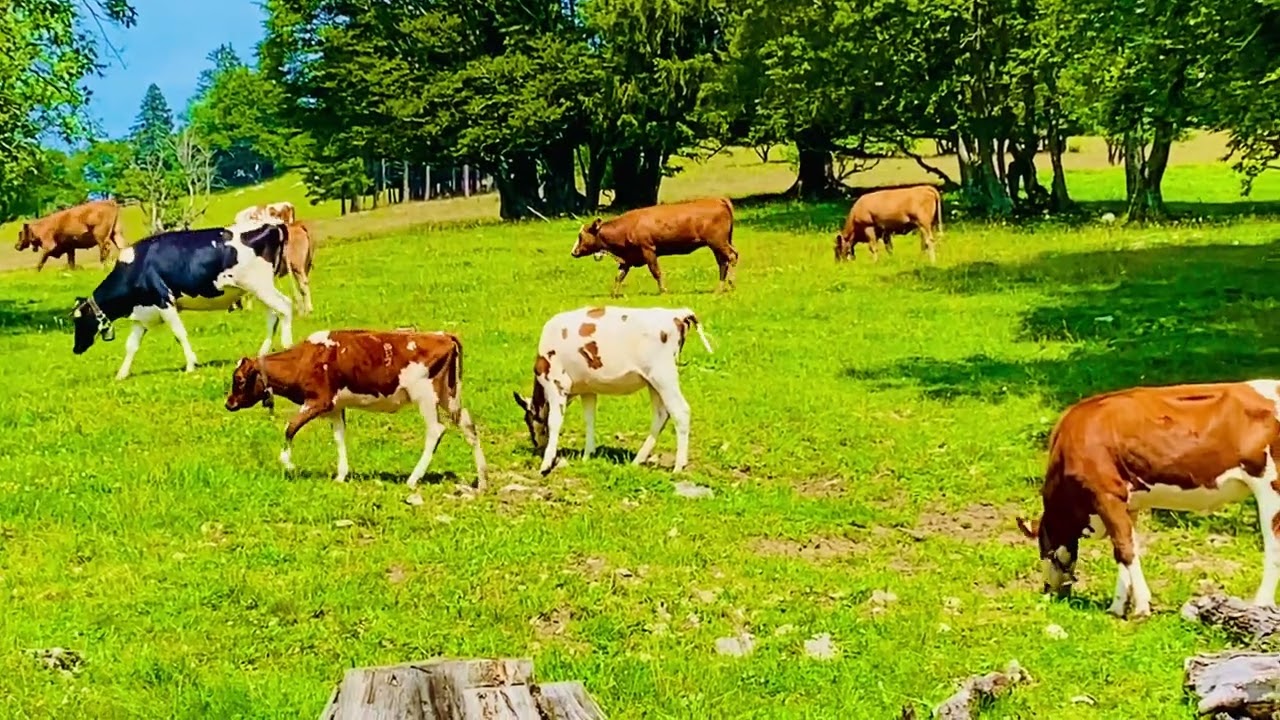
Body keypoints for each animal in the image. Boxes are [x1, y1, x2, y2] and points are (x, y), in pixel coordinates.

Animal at [70, 222, 295, 380]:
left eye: (78, 320)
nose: (76, 349)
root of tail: (272, 226)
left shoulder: (164, 302)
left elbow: (180, 334)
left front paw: (190, 365)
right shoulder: (142, 313)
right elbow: (131, 345)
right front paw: (121, 374)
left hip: (259, 285)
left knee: (285, 306)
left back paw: (288, 347)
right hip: (258, 289)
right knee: (273, 315)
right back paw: (262, 354)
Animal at [223, 329, 488, 490]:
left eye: (238, 379)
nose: (229, 403)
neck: (304, 359)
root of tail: (444, 335)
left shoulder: (318, 400)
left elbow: (290, 428)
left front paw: (288, 464)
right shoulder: (334, 407)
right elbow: (339, 437)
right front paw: (341, 475)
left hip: (425, 395)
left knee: (436, 430)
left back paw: (413, 479)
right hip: (448, 395)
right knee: (468, 425)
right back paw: (482, 480)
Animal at [512, 305, 713, 476]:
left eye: (527, 420)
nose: (537, 446)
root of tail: (676, 314)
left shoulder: (556, 383)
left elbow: (554, 422)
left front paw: (546, 463)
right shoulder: (587, 389)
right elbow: (589, 419)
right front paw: (587, 455)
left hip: (663, 375)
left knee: (680, 411)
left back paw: (679, 466)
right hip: (653, 381)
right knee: (661, 415)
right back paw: (638, 460)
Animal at [571, 197, 738, 296]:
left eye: (580, 236)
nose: (573, 252)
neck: (627, 226)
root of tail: (718, 199)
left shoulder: (648, 250)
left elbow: (655, 271)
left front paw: (663, 291)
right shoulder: (628, 258)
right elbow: (619, 276)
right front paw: (613, 294)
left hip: (717, 242)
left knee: (731, 257)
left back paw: (731, 284)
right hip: (717, 244)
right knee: (723, 262)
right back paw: (720, 288)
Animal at [1015, 380, 1280, 619]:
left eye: (1045, 550)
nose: (1049, 591)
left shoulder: (1107, 495)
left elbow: (1126, 550)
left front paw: (1142, 607)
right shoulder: (1128, 504)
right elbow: (1123, 550)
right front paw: (1117, 607)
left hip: (1270, 486)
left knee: (1273, 545)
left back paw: (1260, 604)